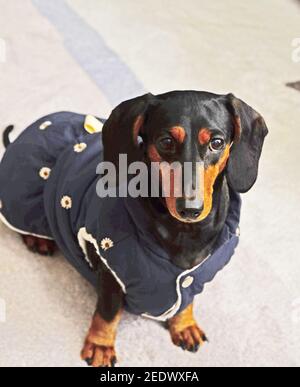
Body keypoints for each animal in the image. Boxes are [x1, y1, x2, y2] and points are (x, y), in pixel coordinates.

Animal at [0, 91, 268, 366]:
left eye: (216, 142)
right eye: (166, 141)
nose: (190, 209)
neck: (184, 232)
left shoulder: (196, 276)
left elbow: (187, 299)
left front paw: (184, 326)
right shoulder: (111, 269)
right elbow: (107, 313)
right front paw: (101, 345)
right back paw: (38, 240)